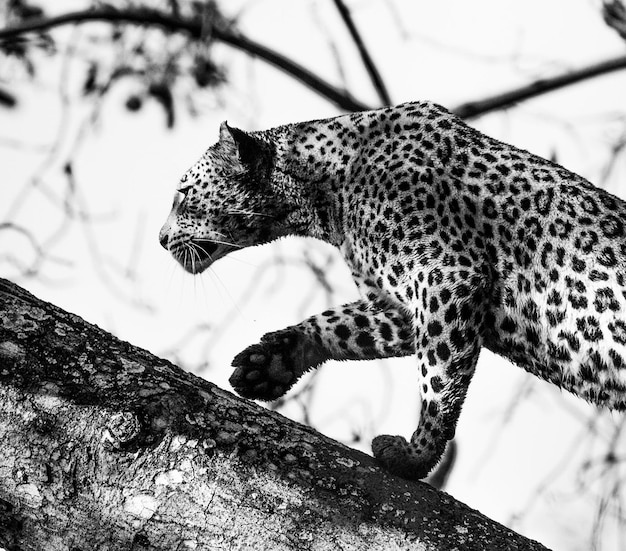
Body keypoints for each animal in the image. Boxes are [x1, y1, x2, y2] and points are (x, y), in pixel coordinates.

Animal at [158, 101, 624, 480]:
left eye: (182, 193)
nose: (161, 240)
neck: (322, 195)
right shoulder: (400, 307)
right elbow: (340, 325)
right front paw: (271, 361)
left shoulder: (449, 275)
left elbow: (439, 382)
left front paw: (416, 456)